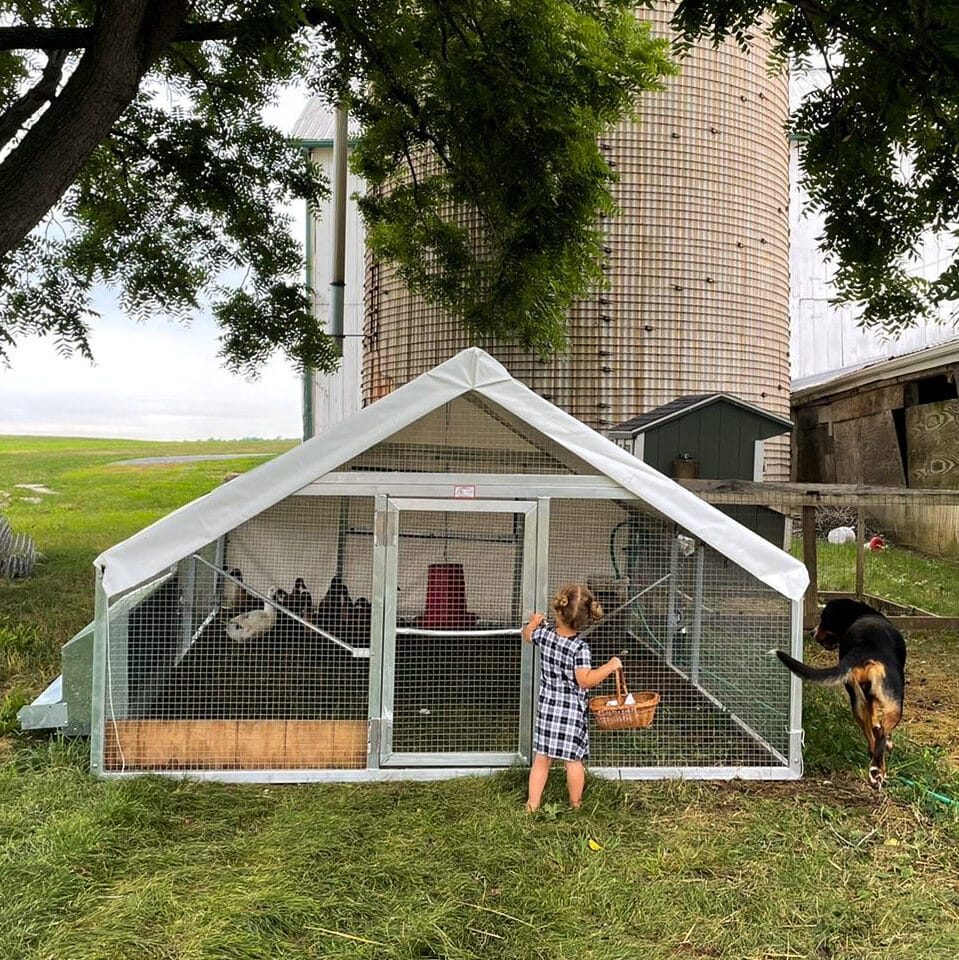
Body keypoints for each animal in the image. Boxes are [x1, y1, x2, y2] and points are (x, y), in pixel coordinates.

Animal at [780, 600, 908, 788]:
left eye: (824, 619)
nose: (812, 632)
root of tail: (863, 645)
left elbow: (873, 720)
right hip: (895, 701)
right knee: (881, 735)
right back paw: (878, 769)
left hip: (858, 701)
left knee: (872, 734)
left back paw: (874, 767)